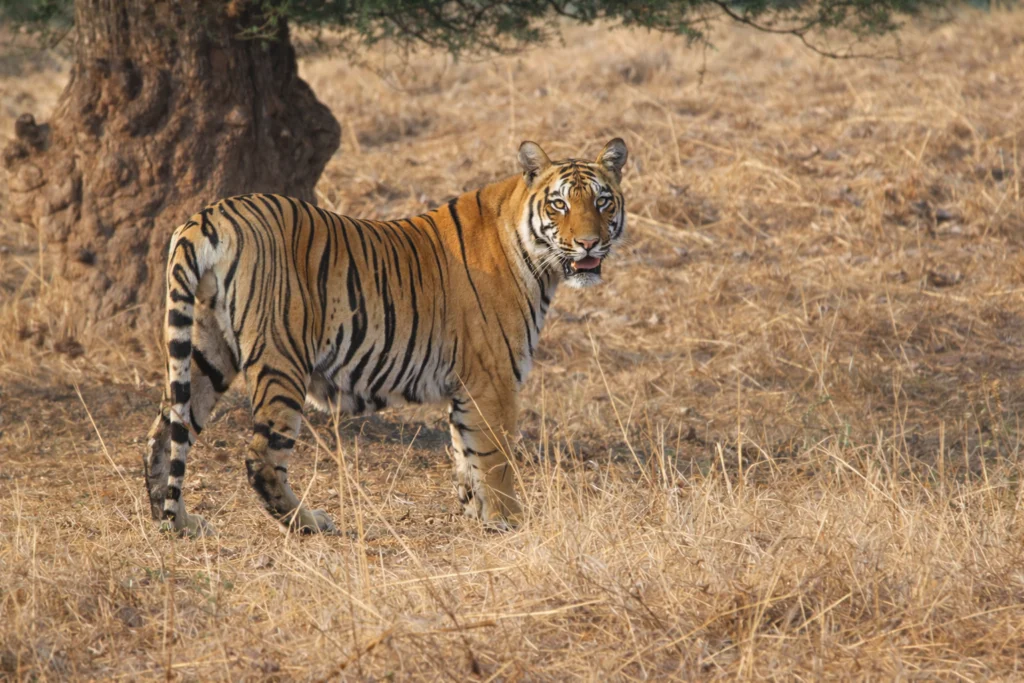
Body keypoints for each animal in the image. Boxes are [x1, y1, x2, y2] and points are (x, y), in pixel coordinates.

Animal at [143, 137, 628, 536]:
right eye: (559, 205)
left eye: (603, 202)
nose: (588, 244)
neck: (535, 257)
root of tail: (209, 215)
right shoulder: (493, 380)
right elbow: (496, 459)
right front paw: (509, 522)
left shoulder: (468, 388)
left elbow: (467, 455)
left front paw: (478, 516)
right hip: (282, 359)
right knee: (261, 456)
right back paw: (307, 522)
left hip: (207, 351)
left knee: (167, 430)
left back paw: (176, 521)